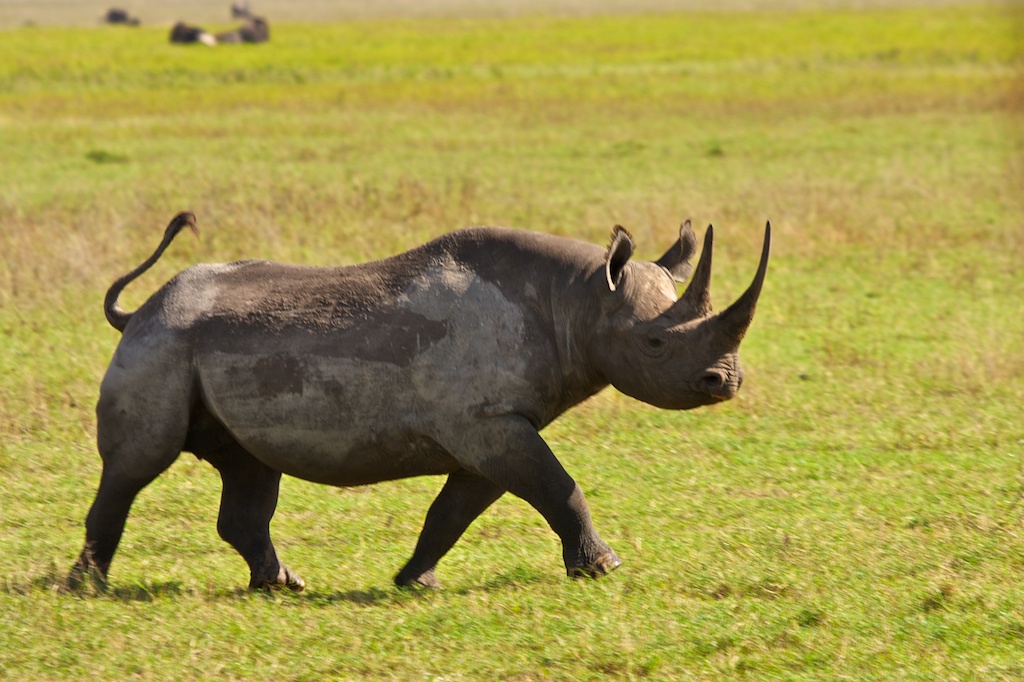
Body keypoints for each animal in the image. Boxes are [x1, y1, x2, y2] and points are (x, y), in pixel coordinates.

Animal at [69, 212, 770, 591]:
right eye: (654, 343)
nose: (725, 381)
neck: (577, 299)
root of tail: (140, 312)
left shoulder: (494, 422)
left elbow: (458, 508)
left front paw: (415, 580)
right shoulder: (488, 421)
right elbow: (559, 487)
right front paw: (603, 570)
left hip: (199, 350)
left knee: (248, 467)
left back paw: (282, 586)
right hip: (163, 345)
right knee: (136, 466)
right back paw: (88, 589)